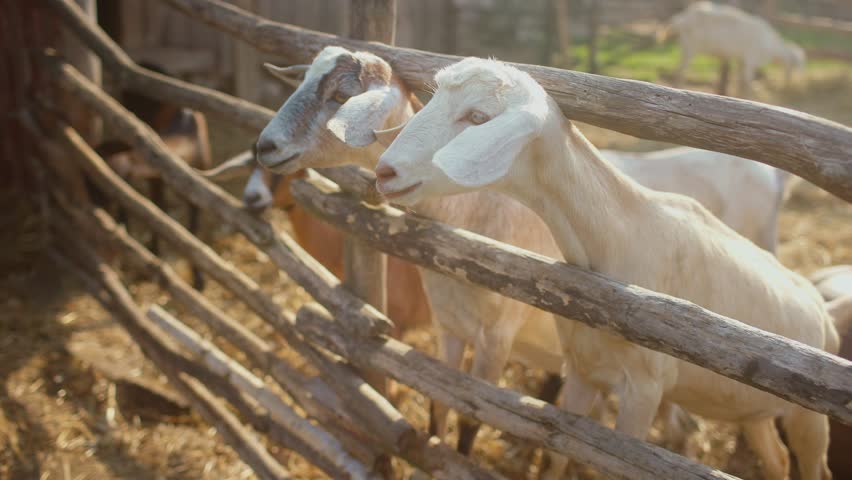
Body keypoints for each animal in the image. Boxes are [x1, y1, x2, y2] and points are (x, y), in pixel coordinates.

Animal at [89, 62, 212, 289]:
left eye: (96, 185)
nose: (95, 205)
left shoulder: (196, 191)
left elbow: (192, 230)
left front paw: (199, 279)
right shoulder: (157, 177)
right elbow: (157, 210)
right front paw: (154, 252)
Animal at [663, 1, 805, 95]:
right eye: (797, 63)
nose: (790, 85)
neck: (772, 46)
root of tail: (681, 18)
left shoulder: (741, 60)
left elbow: (740, 81)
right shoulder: (751, 59)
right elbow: (747, 82)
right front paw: (749, 96)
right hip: (690, 46)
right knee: (681, 70)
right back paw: (680, 88)